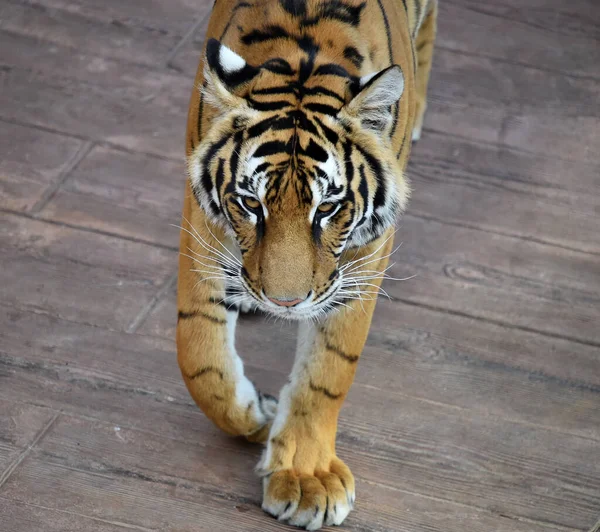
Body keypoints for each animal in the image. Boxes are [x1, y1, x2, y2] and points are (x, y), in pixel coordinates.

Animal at [177, 0, 436, 528]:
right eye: (250, 203)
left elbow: (329, 370)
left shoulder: (364, 258)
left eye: (328, 208)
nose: (285, 303)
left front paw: (306, 479)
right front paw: (256, 413)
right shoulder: (202, 225)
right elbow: (199, 354)